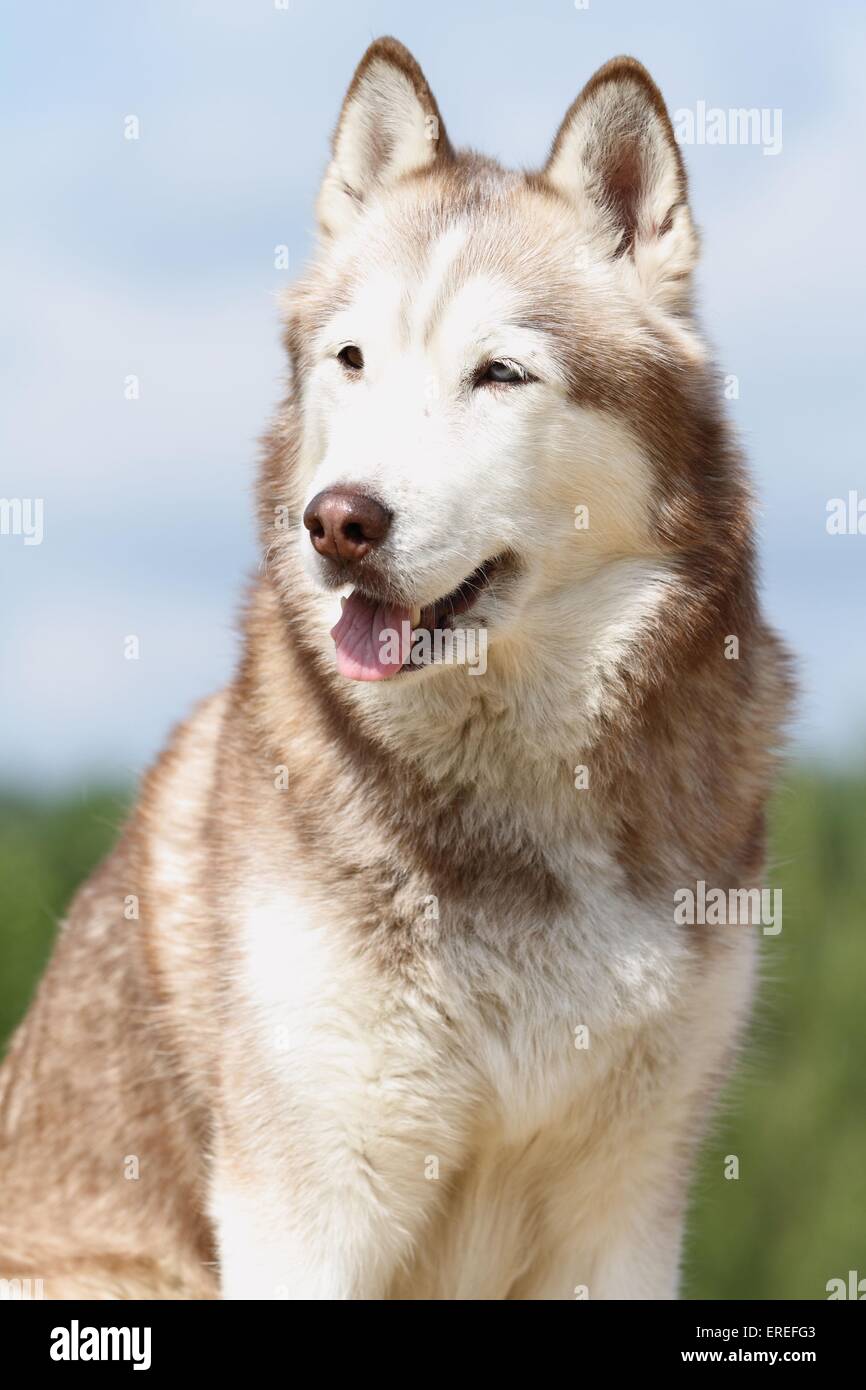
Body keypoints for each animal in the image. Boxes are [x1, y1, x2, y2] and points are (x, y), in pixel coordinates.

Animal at [0, 38, 795, 1295]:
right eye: (352, 360)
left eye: (499, 373)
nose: (337, 521)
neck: (510, 791)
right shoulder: (304, 1209)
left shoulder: (625, 1213)